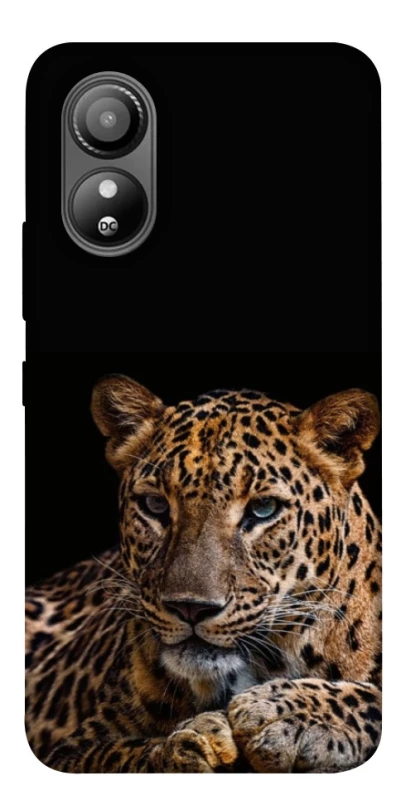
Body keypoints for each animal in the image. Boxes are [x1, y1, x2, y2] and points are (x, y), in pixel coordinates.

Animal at [25, 374, 382, 773]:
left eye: (263, 508)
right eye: (155, 505)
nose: (191, 608)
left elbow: (374, 699)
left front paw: (285, 713)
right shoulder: (72, 750)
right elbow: (124, 756)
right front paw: (191, 745)